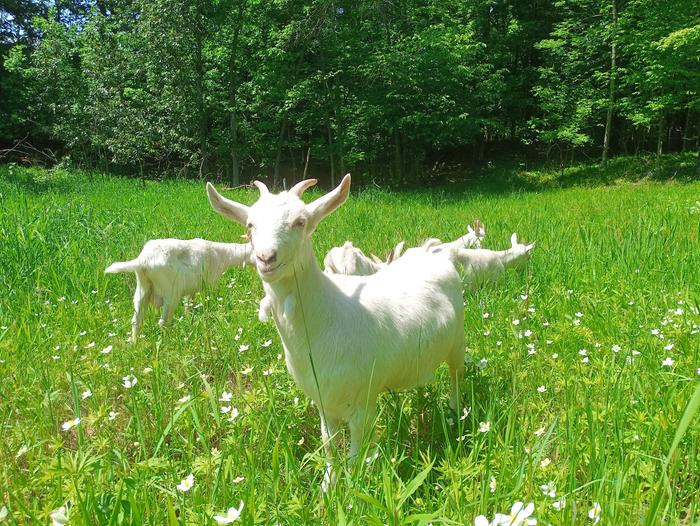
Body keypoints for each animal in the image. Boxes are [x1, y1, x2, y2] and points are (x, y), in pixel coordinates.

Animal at [105, 239, 253, 341]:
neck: (221, 254)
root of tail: (143, 260)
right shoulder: (209, 283)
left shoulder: (192, 289)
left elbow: (189, 304)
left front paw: (189, 319)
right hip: (171, 294)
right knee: (162, 322)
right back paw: (166, 340)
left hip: (142, 290)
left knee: (136, 321)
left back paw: (134, 343)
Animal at [206, 176, 466, 488]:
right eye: (250, 225)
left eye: (301, 221)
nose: (266, 258)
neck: (327, 317)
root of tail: (435, 253)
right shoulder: (322, 400)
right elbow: (328, 445)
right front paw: (327, 487)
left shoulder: (363, 400)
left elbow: (354, 456)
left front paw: (353, 490)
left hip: (458, 340)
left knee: (456, 374)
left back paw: (454, 412)